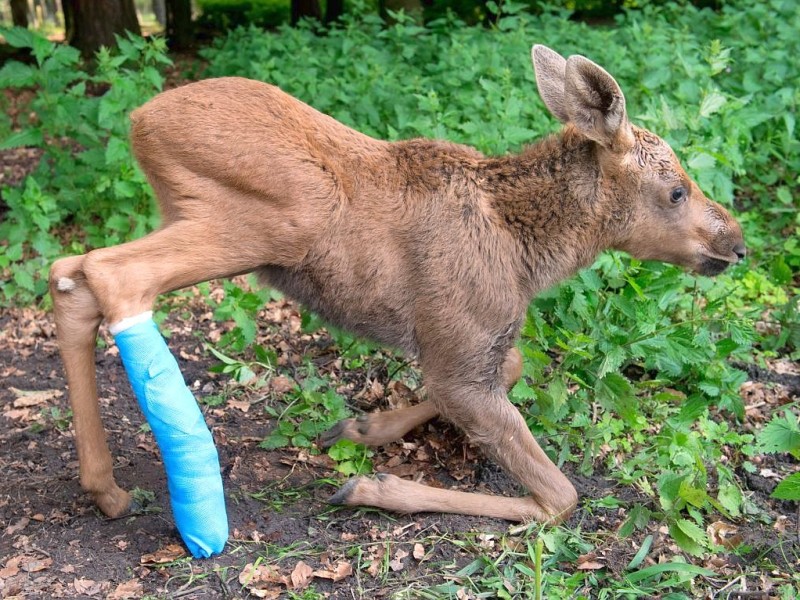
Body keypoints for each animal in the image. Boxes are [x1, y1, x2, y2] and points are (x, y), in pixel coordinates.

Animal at [48, 44, 744, 556]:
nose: (735, 243)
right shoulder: (462, 358)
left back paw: (107, 490)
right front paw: (370, 486)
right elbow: (559, 497)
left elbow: (513, 365)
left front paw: (363, 427)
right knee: (109, 272)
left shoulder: (468, 351)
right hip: (273, 221)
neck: (530, 255)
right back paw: (193, 512)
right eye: (676, 191)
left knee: (68, 272)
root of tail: (139, 121)